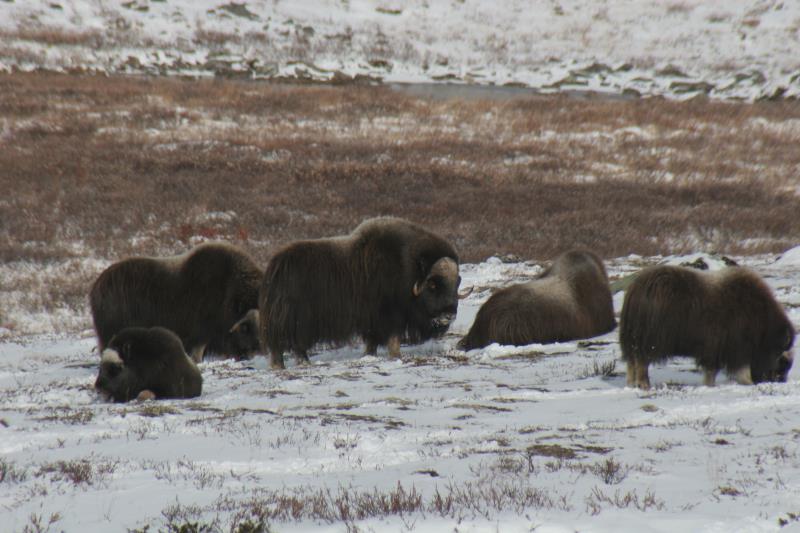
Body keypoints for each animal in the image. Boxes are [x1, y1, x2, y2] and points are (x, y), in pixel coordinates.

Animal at [260, 218, 462, 368]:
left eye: (457, 282)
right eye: (432, 284)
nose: (449, 315)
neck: (406, 268)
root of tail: (275, 266)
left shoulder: (375, 321)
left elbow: (373, 341)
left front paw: (369, 356)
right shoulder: (389, 316)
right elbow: (393, 338)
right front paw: (395, 356)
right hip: (296, 321)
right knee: (291, 345)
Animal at [620, 264, 792, 386]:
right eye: (781, 358)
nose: (780, 380)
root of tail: (637, 288)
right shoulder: (730, 347)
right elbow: (718, 369)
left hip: (632, 339)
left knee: (631, 361)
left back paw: (631, 384)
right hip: (650, 341)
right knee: (641, 361)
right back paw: (644, 385)